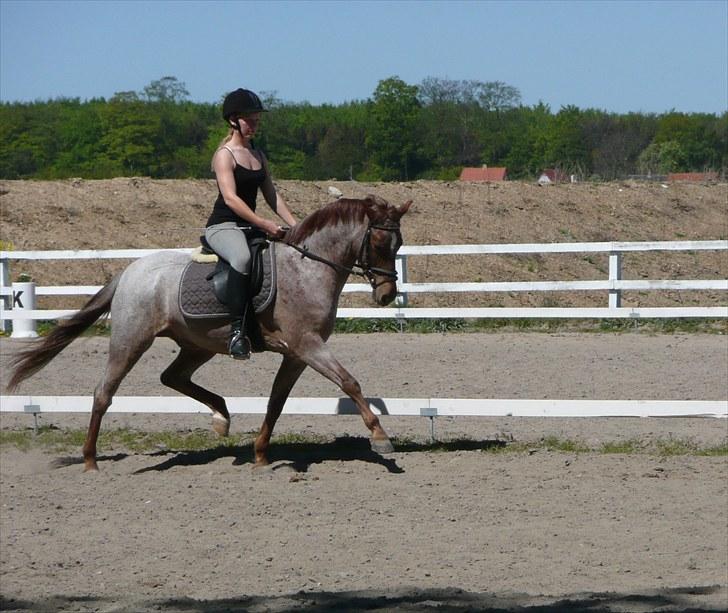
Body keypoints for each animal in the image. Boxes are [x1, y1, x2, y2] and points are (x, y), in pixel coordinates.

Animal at [7, 194, 410, 470]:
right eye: (378, 243)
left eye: (399, 245)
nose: (387, 295)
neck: (307, 268)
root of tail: (130, 271)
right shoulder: (307, 344)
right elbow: (350, 382)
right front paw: (380, 438)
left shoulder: (297, 353)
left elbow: (276, 401)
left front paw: (261, 454)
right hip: (130, 339)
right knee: (104, 392)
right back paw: (90, 459)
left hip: (197, 344)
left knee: (172, 377)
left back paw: (221, 417)